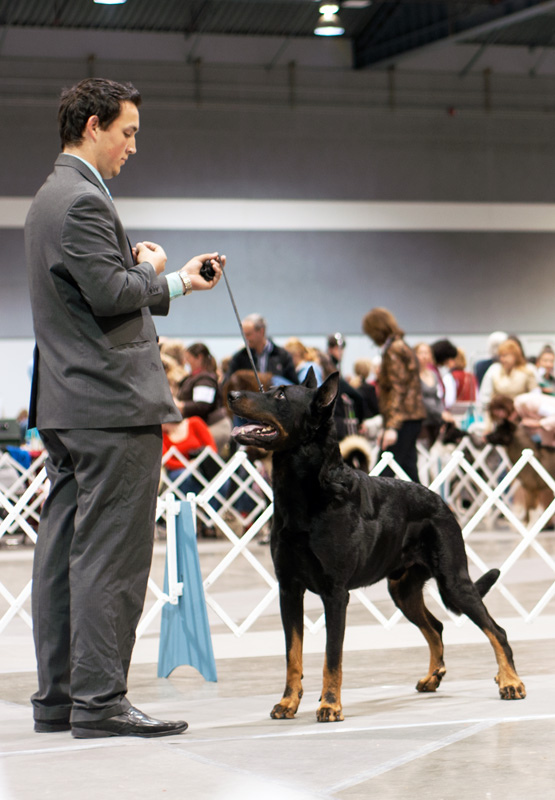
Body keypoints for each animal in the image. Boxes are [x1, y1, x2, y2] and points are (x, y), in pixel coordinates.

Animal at [228, 372, 528, 720]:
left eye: (280, 395)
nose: (231, 394)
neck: (307, 491)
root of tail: (440, 501)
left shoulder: (335, 593)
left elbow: (332, 656)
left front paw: (330, 705)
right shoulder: (288, 589)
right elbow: (293, 654)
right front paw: (288, 703)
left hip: (454, 582)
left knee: (496, 631)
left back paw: (510, 682)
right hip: (402, 590)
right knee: (436, 626)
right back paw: (433, 676)